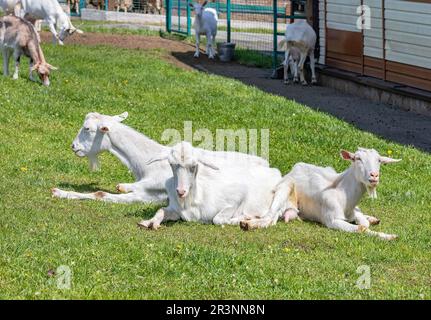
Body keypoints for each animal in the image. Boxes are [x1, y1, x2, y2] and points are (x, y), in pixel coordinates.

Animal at [52, 111, 270, 204]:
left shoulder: (149, 195)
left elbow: (101, 194)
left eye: (87, 129)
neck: (146, 162)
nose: (74, 146)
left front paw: (59, 192)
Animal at [137, 141, 282, 229]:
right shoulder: (176, 210)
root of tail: (274, 171)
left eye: (193, 166)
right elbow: (161, 210)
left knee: (270, 217)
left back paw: (251, 223)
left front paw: (241, 219)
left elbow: (217, 219)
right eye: (171, 164)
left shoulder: (237, 195)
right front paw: (148, 223)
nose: (181, 191)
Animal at [245, 148, 400, 240]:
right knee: (270, 216)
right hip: (285, 187)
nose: (374, 176)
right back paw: (248, 224)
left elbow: (363, 222)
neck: (345, 199)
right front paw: (389, 236)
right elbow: (361, 227)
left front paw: (386, 233)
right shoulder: (331, 219)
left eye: (379, 160)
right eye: (357, 158)